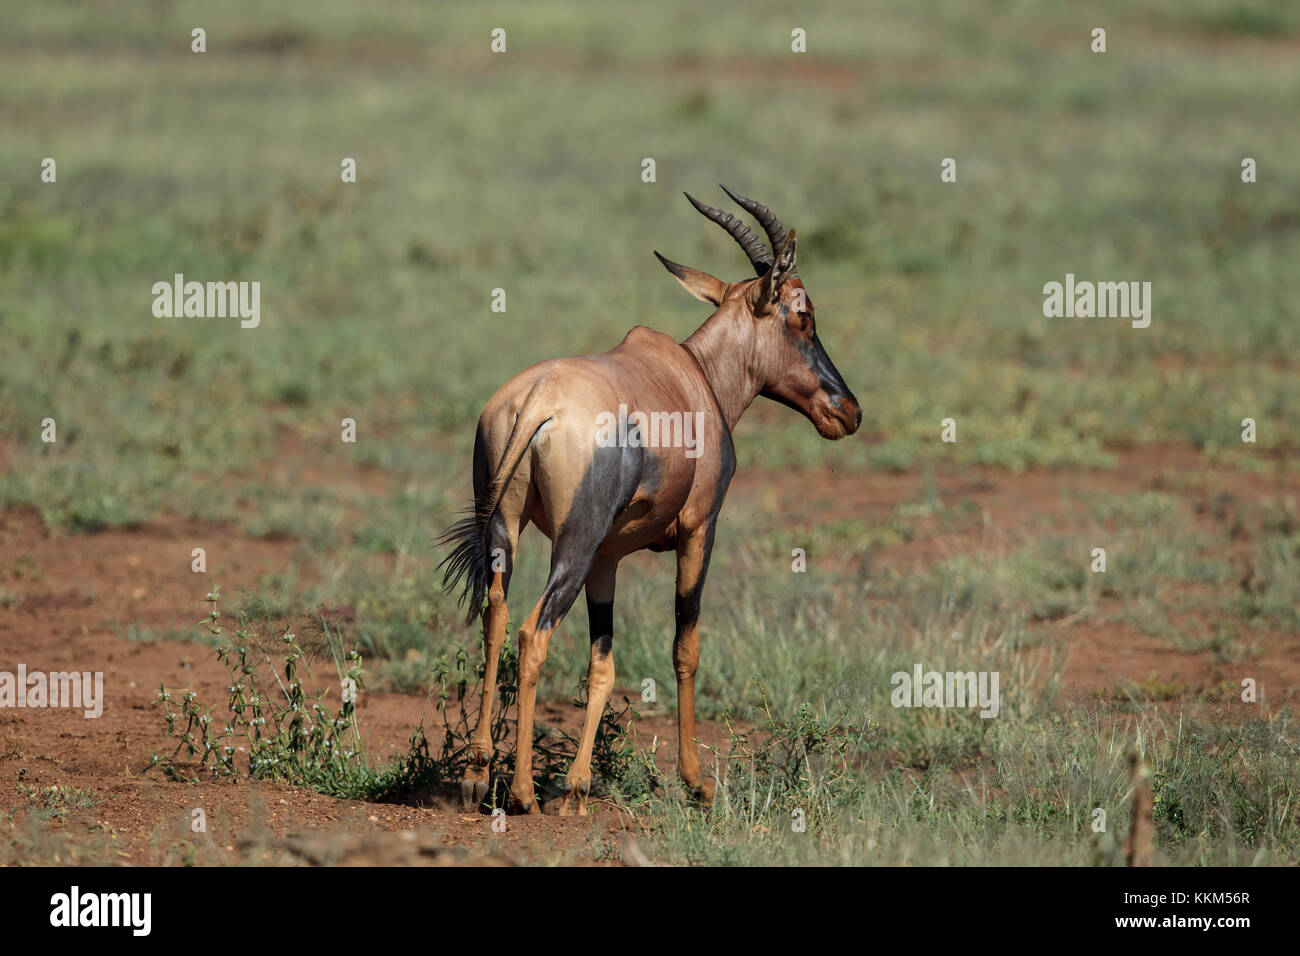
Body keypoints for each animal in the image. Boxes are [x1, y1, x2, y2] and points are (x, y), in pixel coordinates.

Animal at [439, 187, 861, 815]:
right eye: (803, 314)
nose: (849, 411)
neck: (694, 377)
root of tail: (537, 400)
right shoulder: (699, 529)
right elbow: (685, 647)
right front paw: (696, 782)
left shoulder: (608, 559)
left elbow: (603, 665)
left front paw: (579, 784)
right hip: (573, 545)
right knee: (533, 633)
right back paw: (521, 793)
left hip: (505, 533)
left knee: (496, 617)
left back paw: (476, 771)